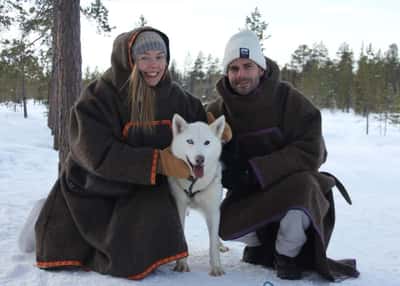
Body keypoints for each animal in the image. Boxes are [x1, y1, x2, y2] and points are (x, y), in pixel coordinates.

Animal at [167, 114, 227, 278]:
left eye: (207, 142)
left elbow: (212, 241)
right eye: (190, 141)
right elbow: (181, 236)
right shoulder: (180, 207)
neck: (195, 184)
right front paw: (181, 263)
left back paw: (221, 245)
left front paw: (216, 267)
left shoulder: (213, 211)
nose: (200, 158)